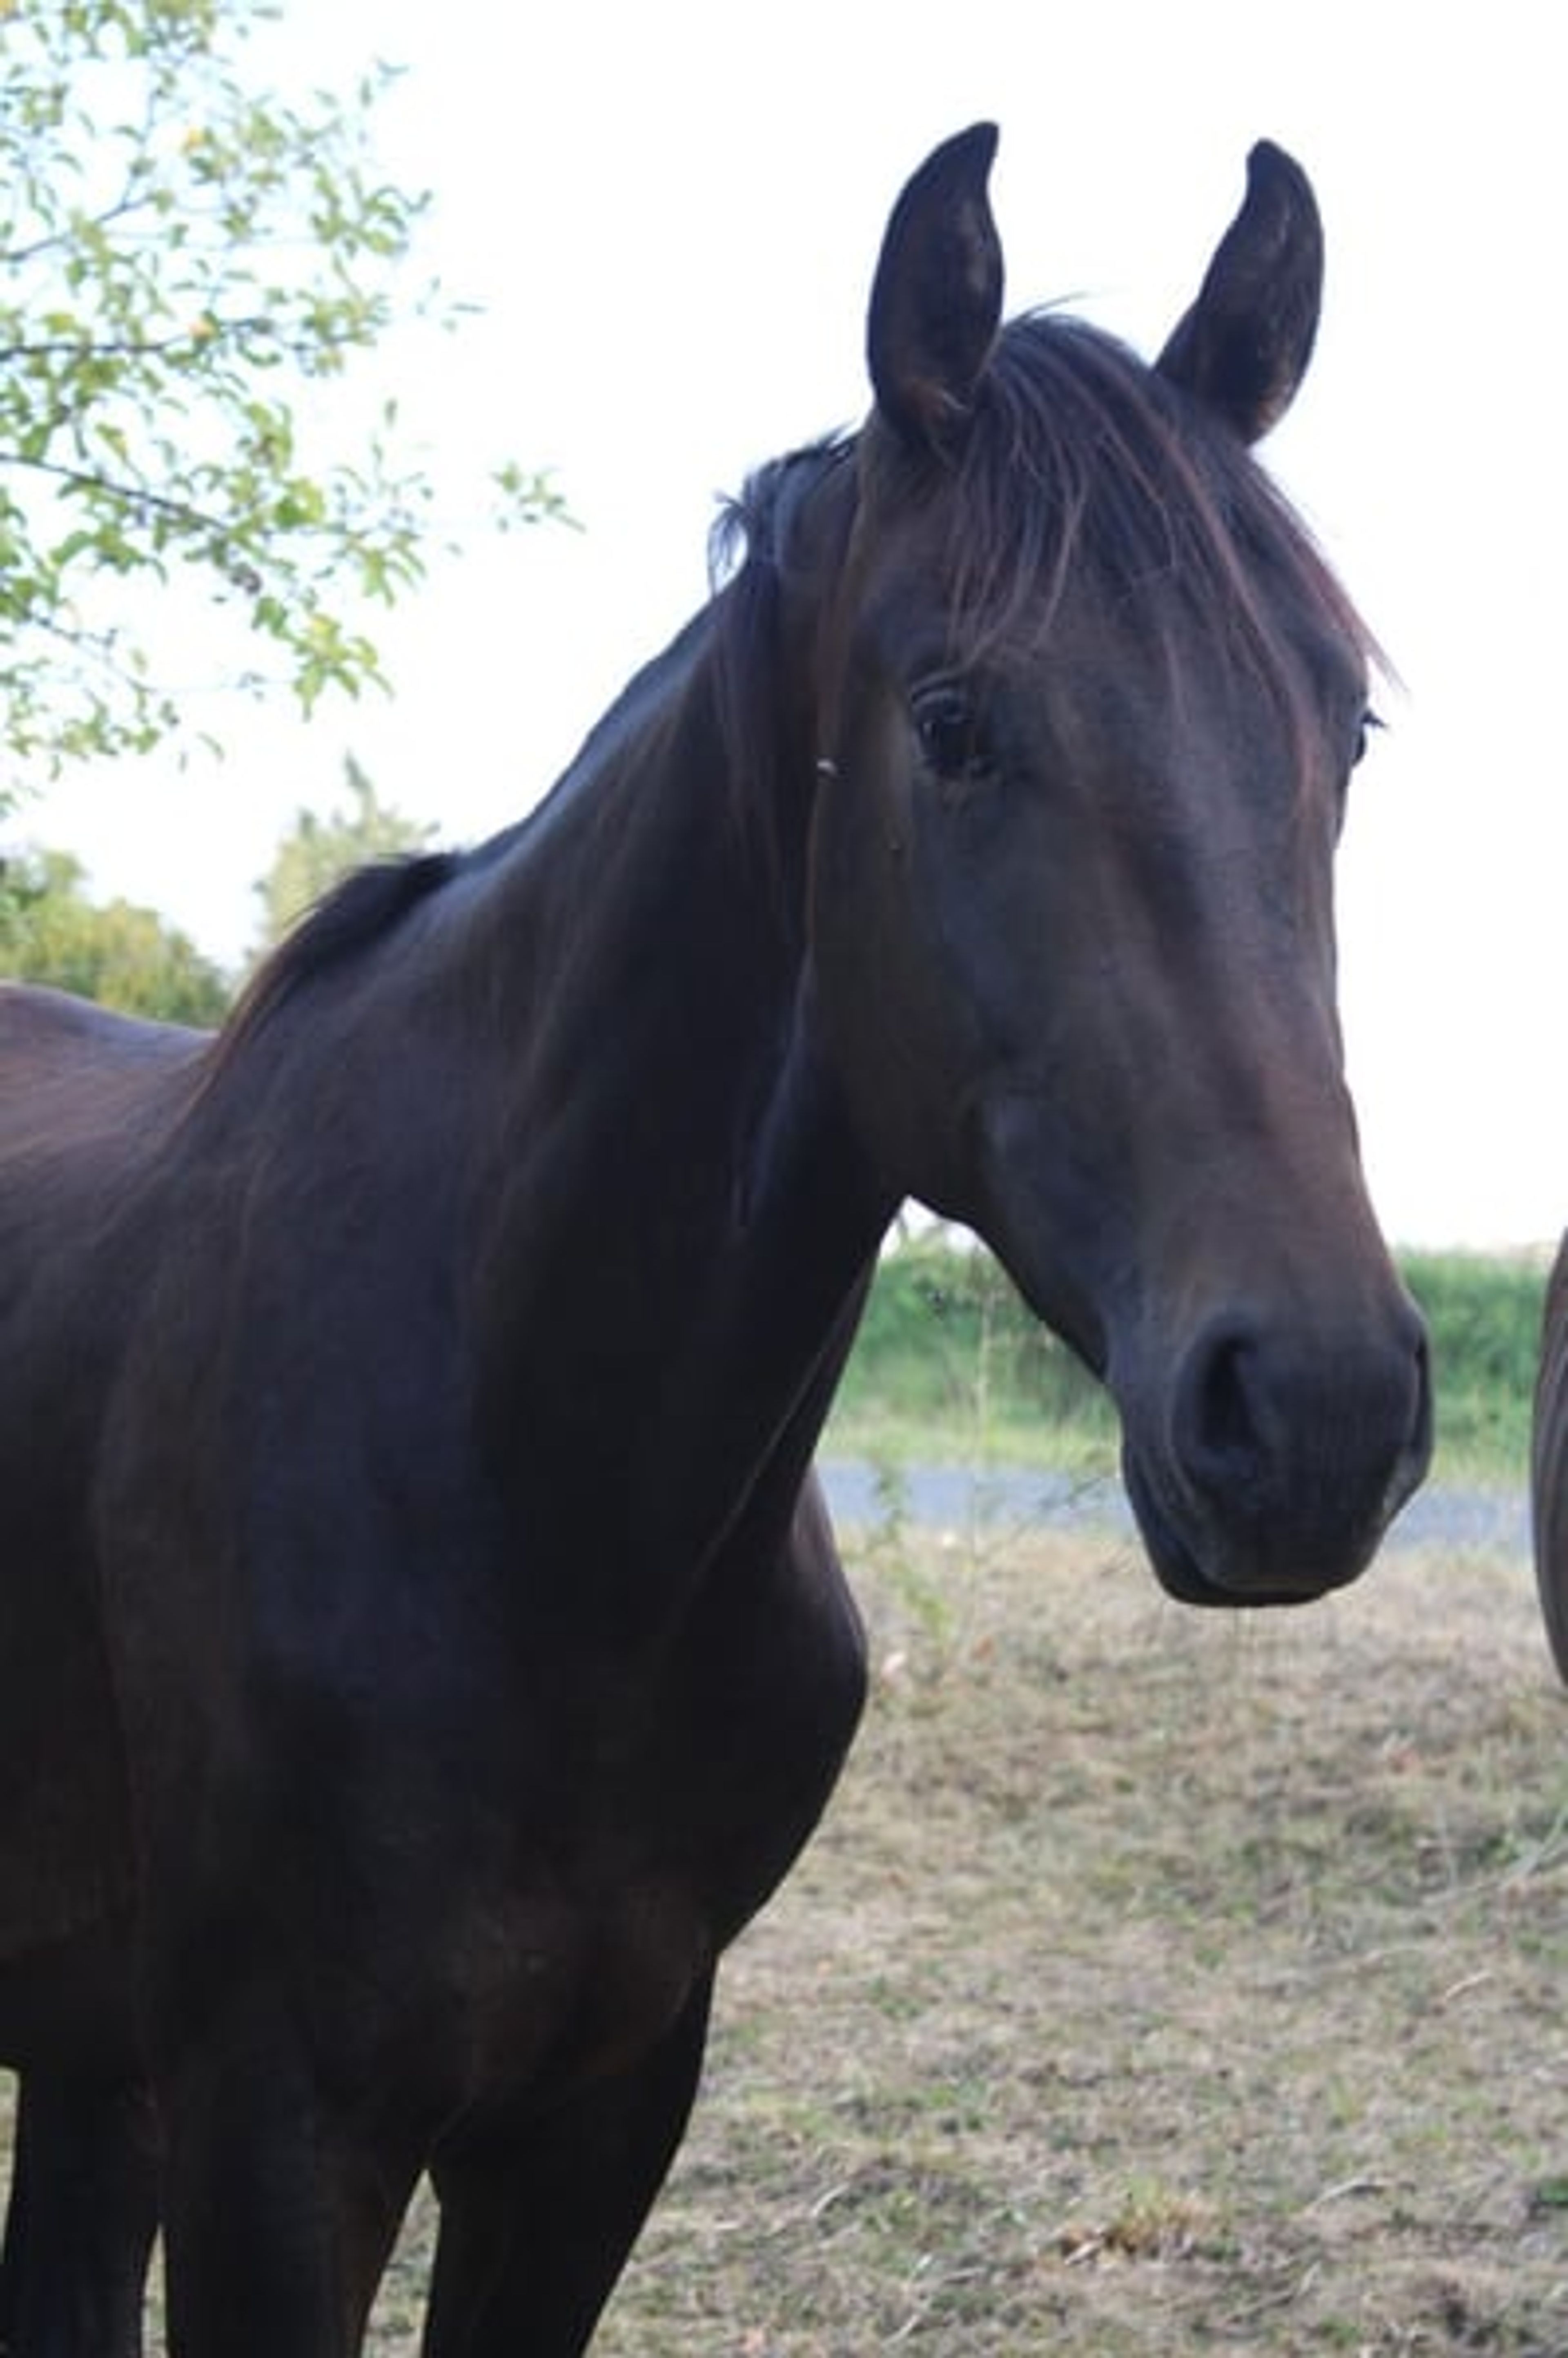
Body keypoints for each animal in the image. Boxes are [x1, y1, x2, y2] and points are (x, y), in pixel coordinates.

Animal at [0, 125, 1430, 2352]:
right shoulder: (275, 2126)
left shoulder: (597, 2117)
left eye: (1341, 724)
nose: (1317, 1413)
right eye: (954, 722)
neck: (531, 1476)